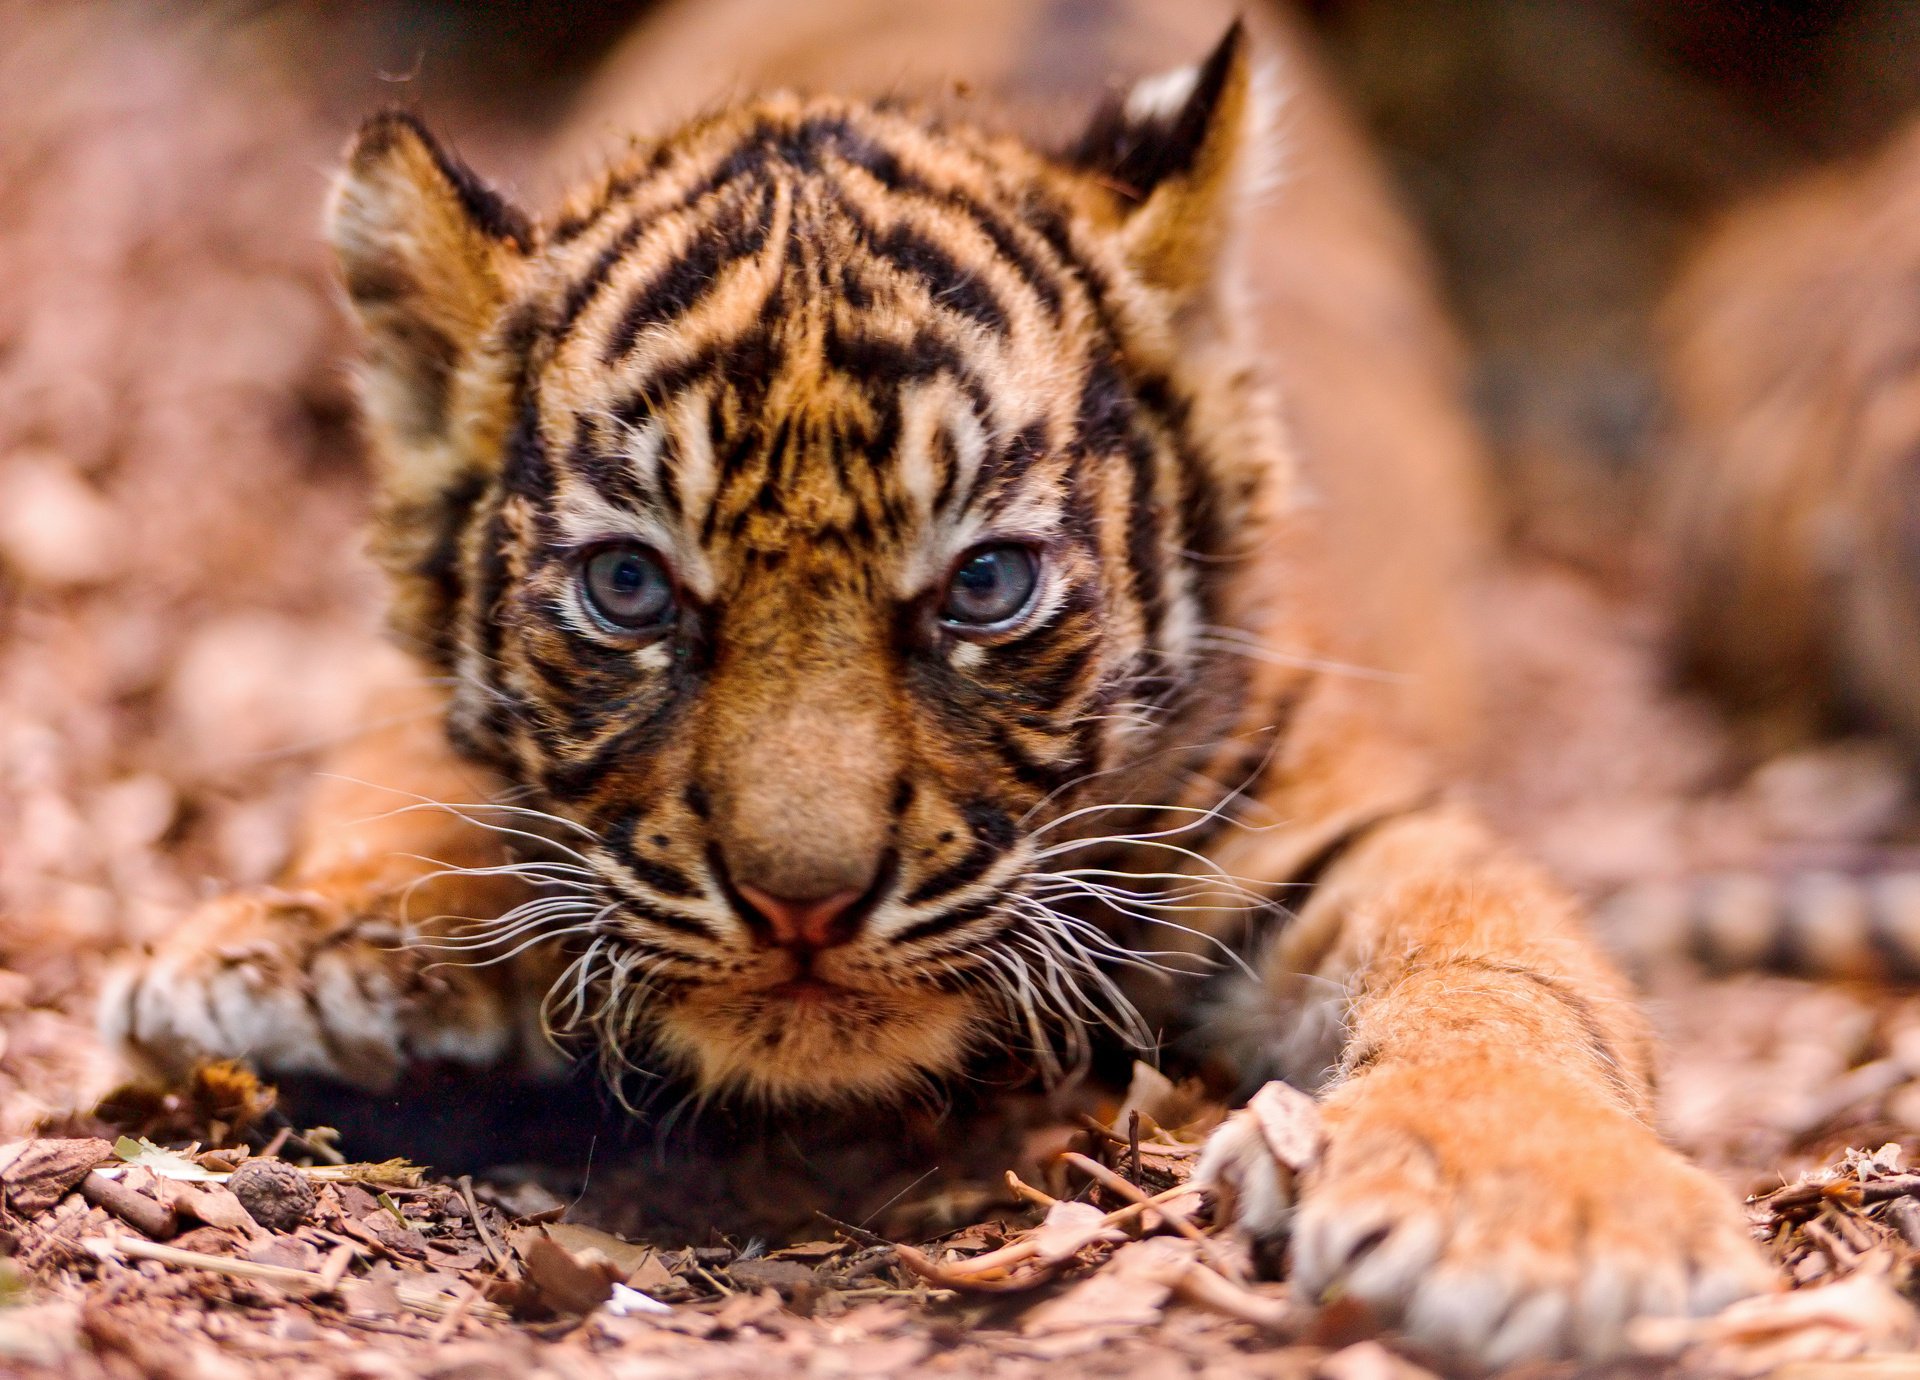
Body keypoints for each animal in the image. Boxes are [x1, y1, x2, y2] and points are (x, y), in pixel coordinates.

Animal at [98, 0, 1772, 1365]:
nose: (803, 906)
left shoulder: (1363, 822)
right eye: (630, 586)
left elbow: (1506, 976)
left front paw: (1530, 1211)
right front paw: (303, 944)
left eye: (986, 584)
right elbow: (402, 753)